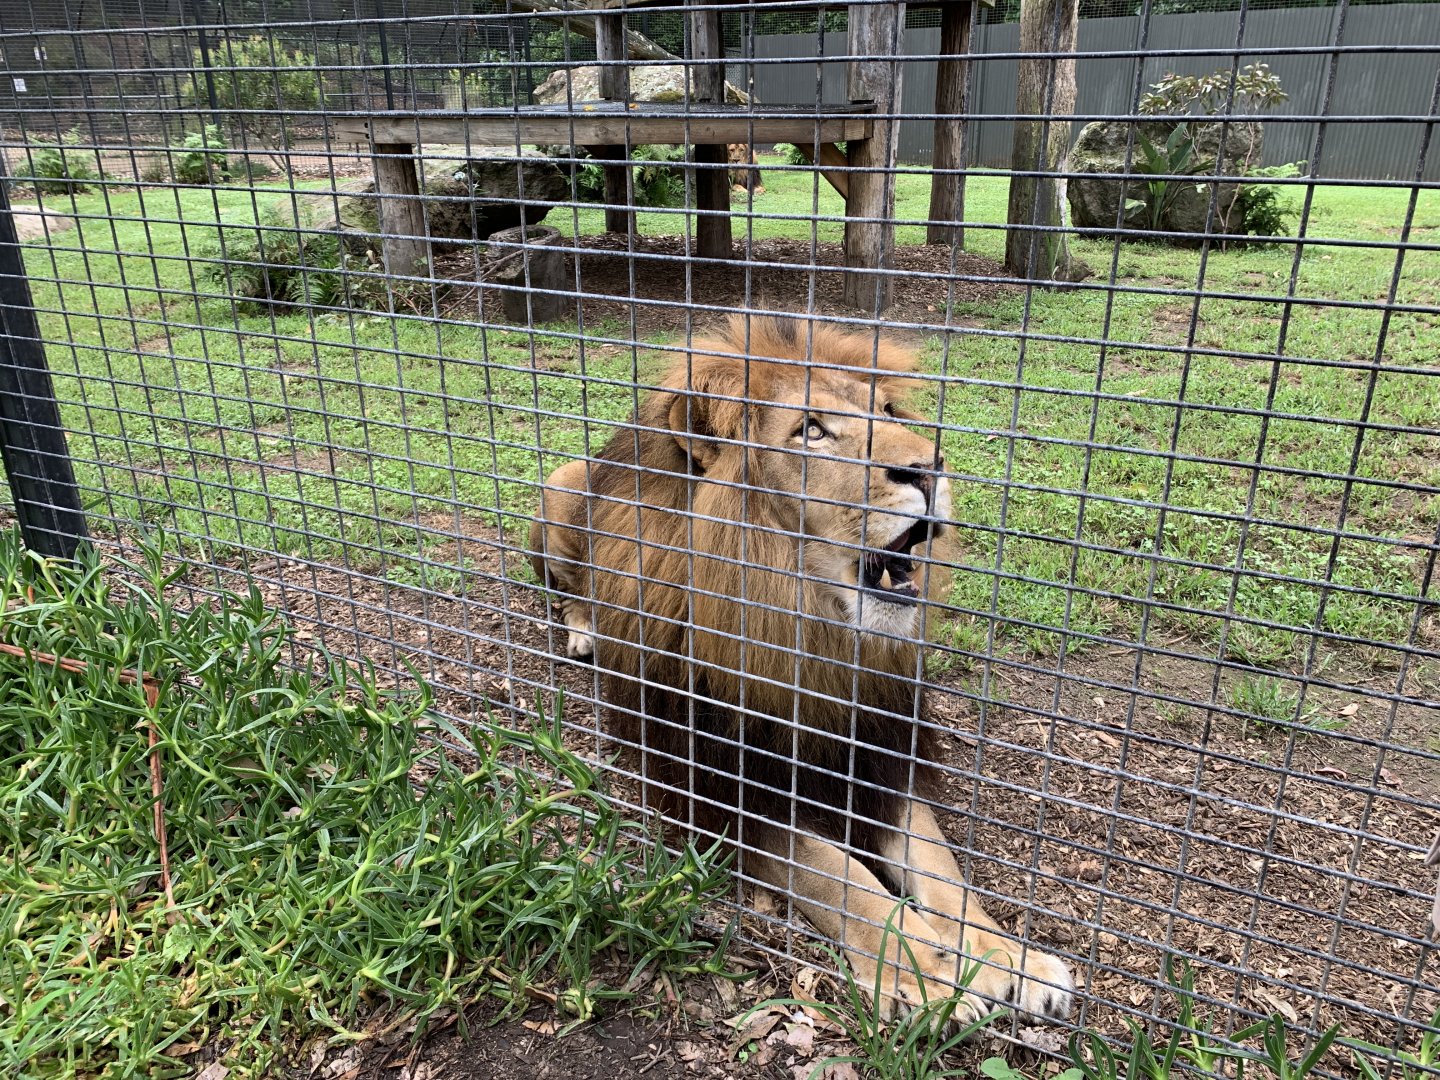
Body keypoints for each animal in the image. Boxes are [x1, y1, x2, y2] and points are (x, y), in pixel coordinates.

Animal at [528, 316, 1073, 1022]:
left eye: (886, 411)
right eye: (810, 430)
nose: (930, 469)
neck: (813, 636)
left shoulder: (878, 753)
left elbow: (940, 869)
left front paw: (1007, 956)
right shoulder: (727, 789)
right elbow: (842, 879)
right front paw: (924, 973)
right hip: (561, 485)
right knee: (567, 589)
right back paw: (585, 632)